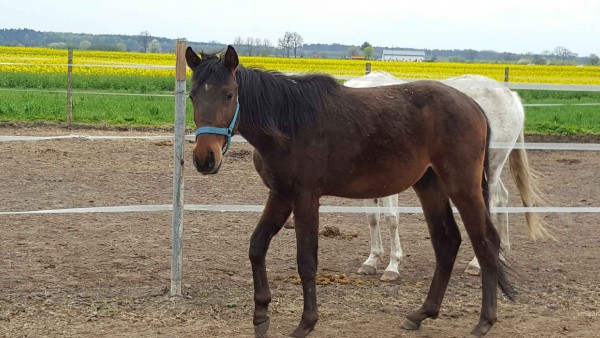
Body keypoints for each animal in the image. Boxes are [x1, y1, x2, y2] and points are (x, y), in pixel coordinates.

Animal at [186, 45, 516, 338]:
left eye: (229, 95)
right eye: (192, 96)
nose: (205, 159)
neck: (289, 123)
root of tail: (474, 105)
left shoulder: (305, 198)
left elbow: (306, 260)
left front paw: (306, 323)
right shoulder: (280, 195)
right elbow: (257, 246)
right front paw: (261, 315)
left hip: (463, 186)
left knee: (486, 241)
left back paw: (485, 321)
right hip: (431, 186)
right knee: (447, 242)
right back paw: (421, 314)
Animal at [344, 72, 552, 280]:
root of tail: (511, 96)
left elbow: (391, 218)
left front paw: (393, 266)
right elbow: (372, 218)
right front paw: (371, 261)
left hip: (491, 165)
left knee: (490, 204)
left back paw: (476, 264)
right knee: (502, 197)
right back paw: (500, 255)